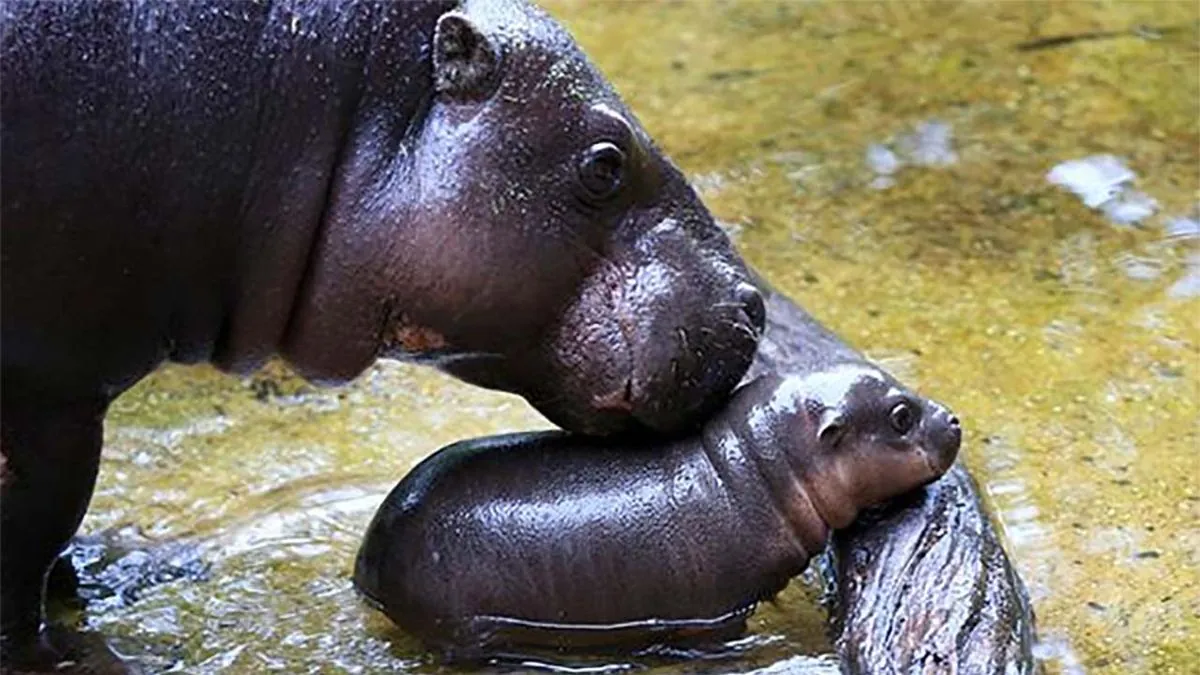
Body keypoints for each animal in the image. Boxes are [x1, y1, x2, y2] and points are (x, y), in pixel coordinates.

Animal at [350, 365, 960, 658]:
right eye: (901, 415)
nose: (953, 419)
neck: (750, 471)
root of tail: (369, 560)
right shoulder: (717, 613)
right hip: (466, 629)